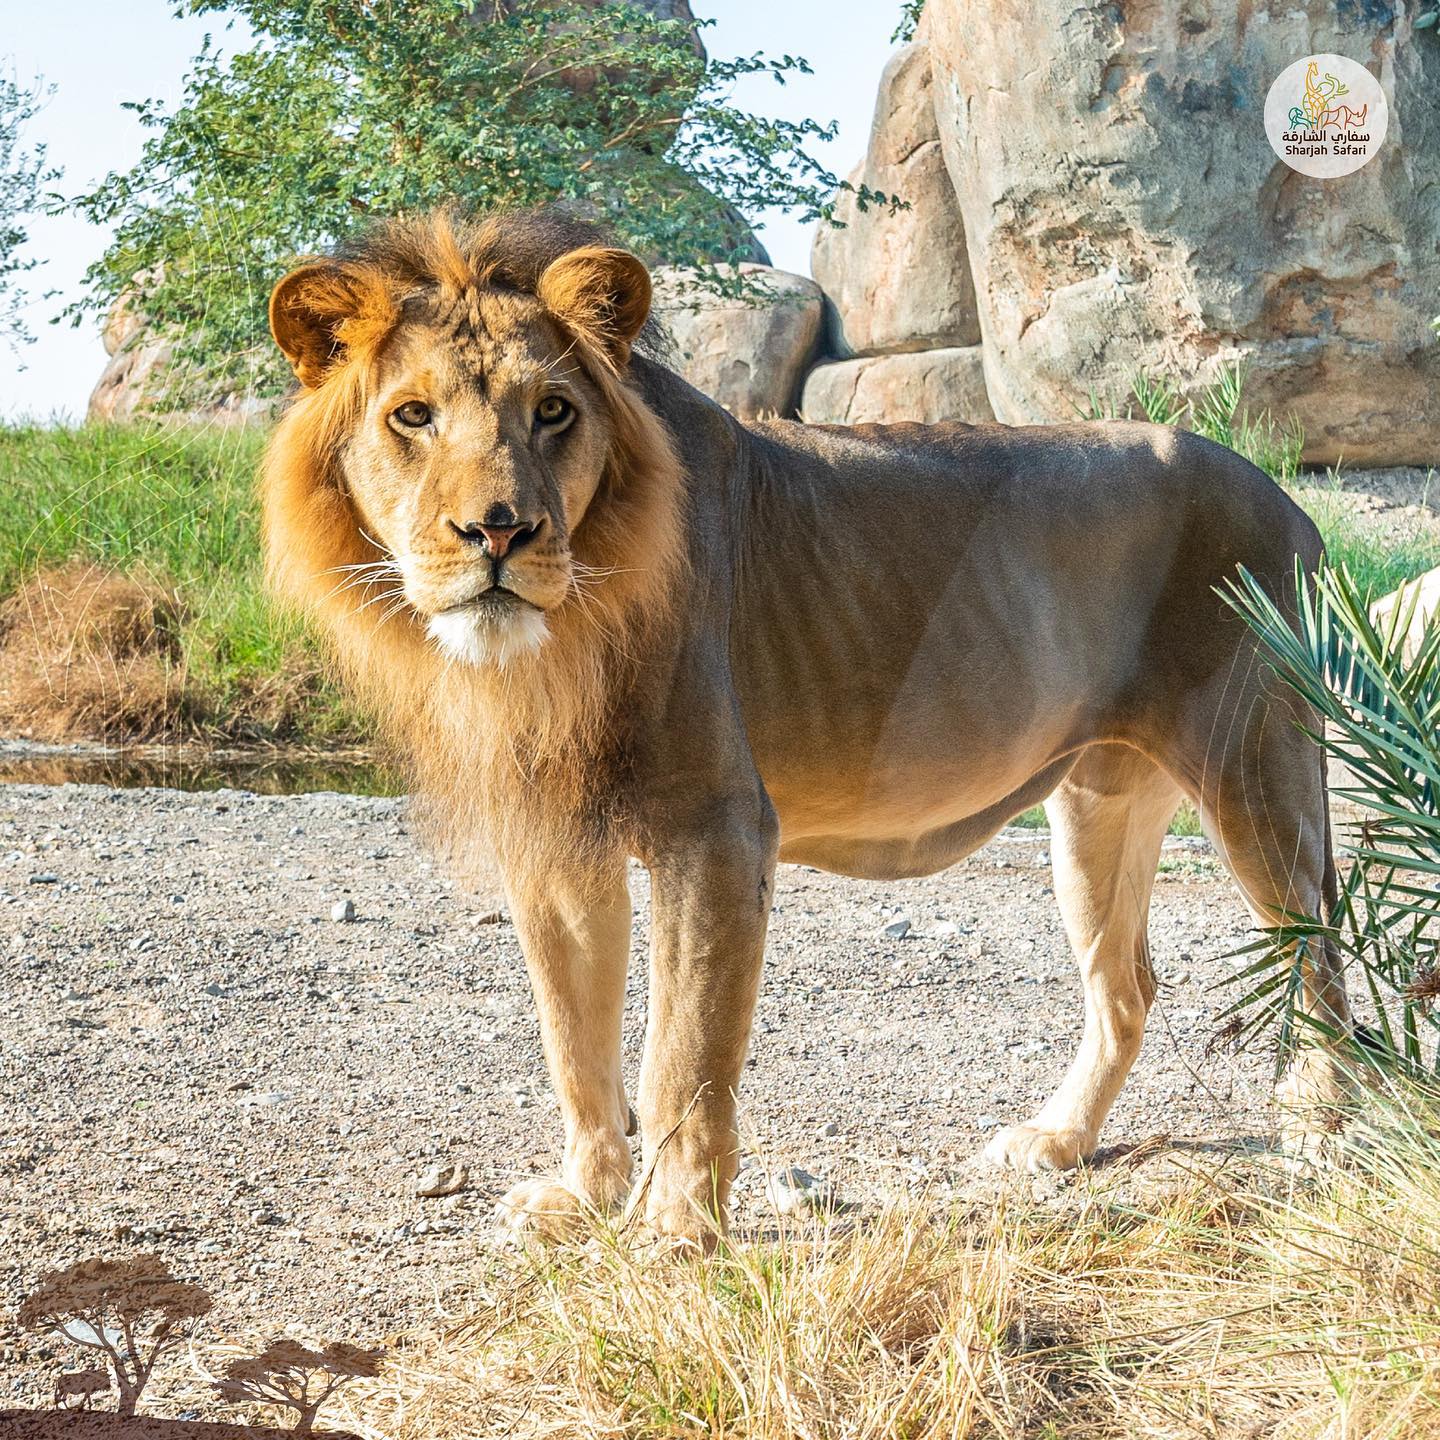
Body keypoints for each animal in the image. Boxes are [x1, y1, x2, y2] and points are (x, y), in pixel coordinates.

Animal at [264, 205, 1353, 1249]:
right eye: (413, 416)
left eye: (554, 412)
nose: (497, 532)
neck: (552, 647)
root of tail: (1290, 499)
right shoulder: (555, 841)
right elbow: (574, 1038)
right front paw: (586, 1198)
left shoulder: (717, 828)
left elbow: (683, 1055)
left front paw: (676, 1234)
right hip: (1098, 804)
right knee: (1125, 985)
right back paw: (1057, 1142)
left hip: (1256, 772)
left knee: (1316, 957)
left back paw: (1321, 1141)